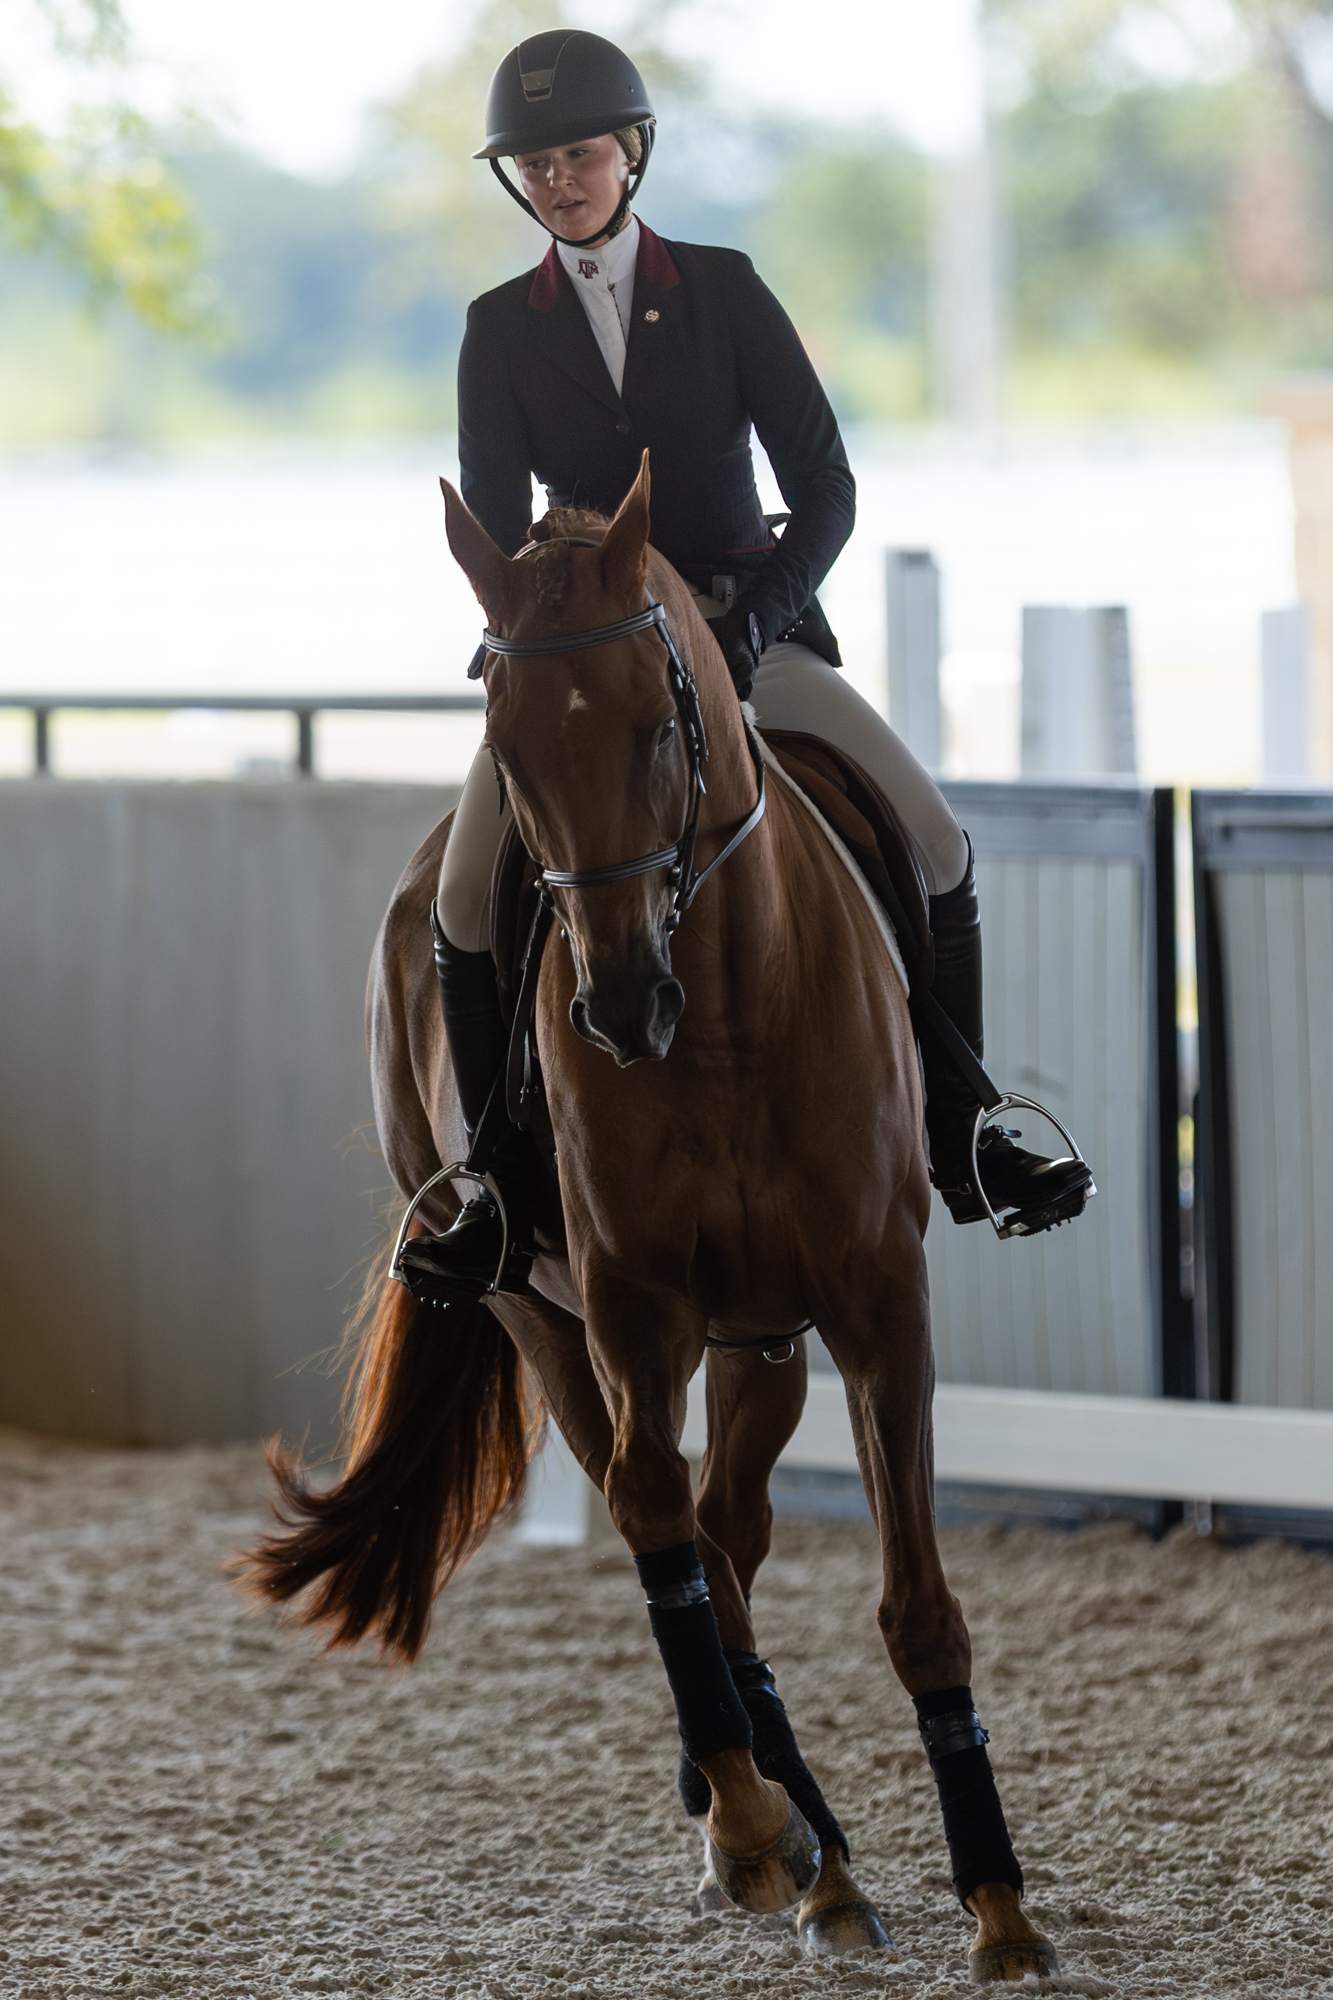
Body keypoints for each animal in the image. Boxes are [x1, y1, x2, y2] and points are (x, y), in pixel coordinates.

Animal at [249, 458, 1056, 1984]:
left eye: (657, 719)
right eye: (503, 741)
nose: (621, 1007)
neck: (728, 1001)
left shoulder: (875, 1302)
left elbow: (915, 1602)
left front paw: (999, 1903)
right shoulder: (630, 1304)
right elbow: (653, 1530)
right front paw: (749, 1824)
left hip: (762, 1337)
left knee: (728, 1530)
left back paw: (807, 1844)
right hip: (545, 1311)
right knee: (678, 1533)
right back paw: (774, 1829)